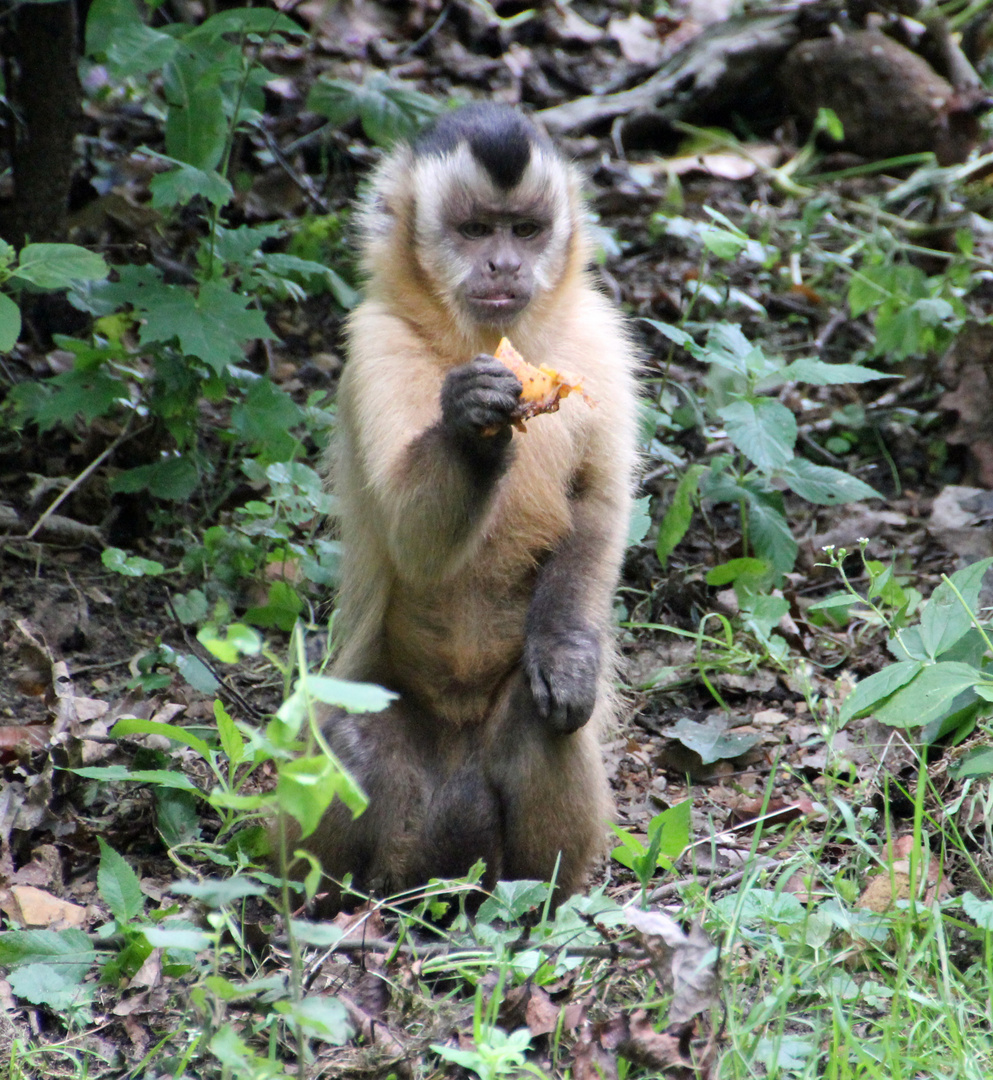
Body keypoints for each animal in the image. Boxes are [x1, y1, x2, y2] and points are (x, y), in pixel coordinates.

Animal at [302, 103, 639, 911]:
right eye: (475, 230)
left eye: (525, 231)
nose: (504, 267)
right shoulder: (374, 346)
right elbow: (409, 536)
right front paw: (473, 427)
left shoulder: (600, 339)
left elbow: (599, 504)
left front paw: (568, 654)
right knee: (345, 739)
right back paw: (321, 911)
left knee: (540, 726)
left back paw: (538, 906)